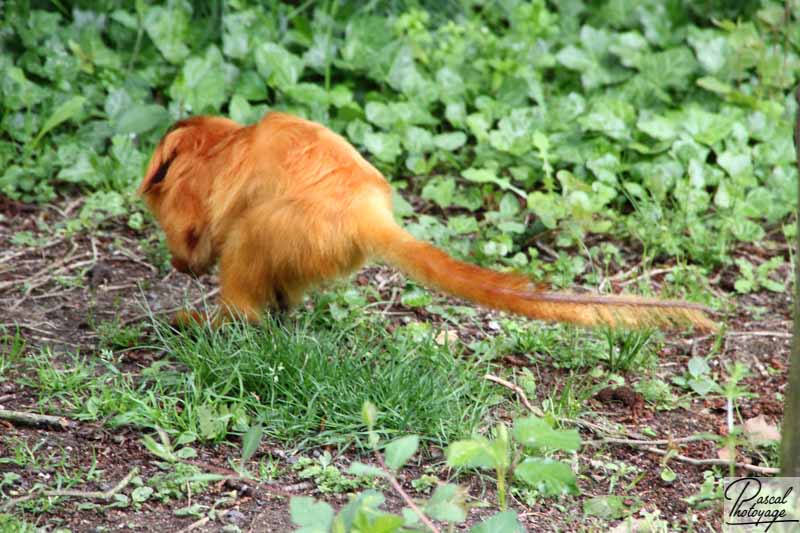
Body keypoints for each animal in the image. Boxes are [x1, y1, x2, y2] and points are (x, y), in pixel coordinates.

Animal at [136, 111, 712, 328]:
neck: (219, 145)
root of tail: (364, 213)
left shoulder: (194, 190)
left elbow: (198, 230)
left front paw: (186, 263)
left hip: (293, 227)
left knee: (247, 239)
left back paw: (226, 319)